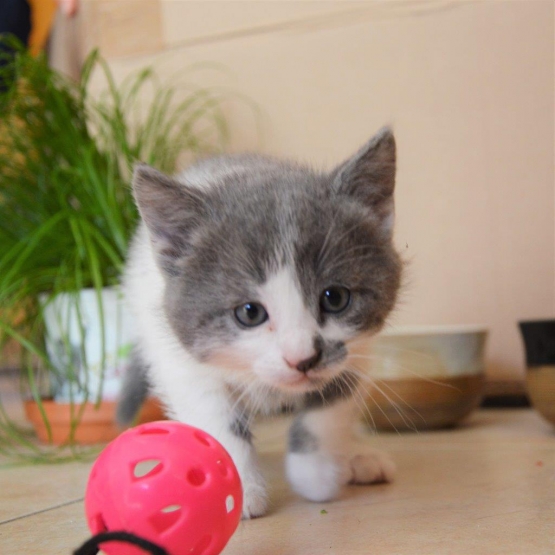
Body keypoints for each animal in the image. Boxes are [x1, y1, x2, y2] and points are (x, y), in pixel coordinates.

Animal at [119, 128, 402, 520]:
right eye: (250, 313)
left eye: (335, 298)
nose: (302, 359)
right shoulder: (183, 364)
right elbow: (217, 422)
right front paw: (234, 490)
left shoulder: (356, 354)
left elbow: (328, 410)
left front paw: (316, 474)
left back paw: (358, 455)